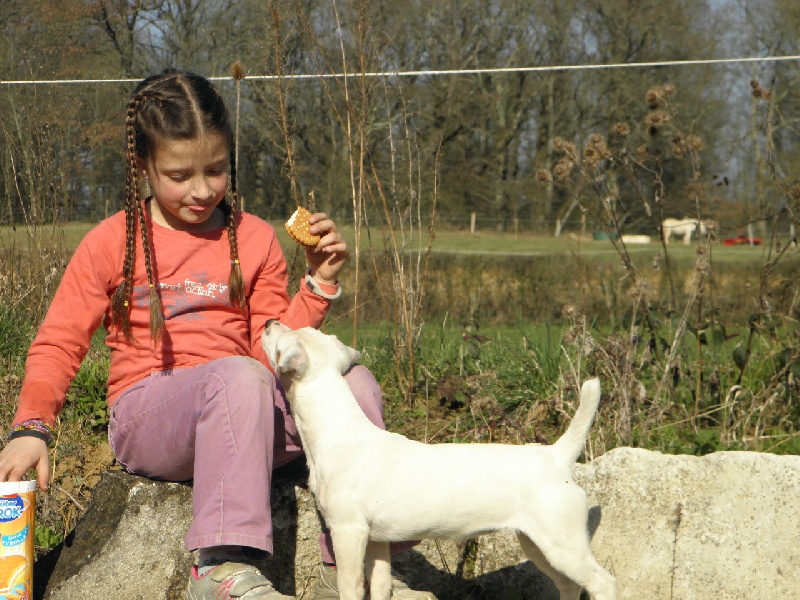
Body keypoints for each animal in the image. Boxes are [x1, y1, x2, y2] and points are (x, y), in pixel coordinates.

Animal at [262, 324, 620, 600]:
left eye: (282, 336)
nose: (267, 322)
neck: (338, 431)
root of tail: (556, 456)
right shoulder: (377, 542)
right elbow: (379, 587)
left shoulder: (348, 531)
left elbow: (351, 588)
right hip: (537, 544)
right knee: (569, 585)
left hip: (563, 544)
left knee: (603, 583)